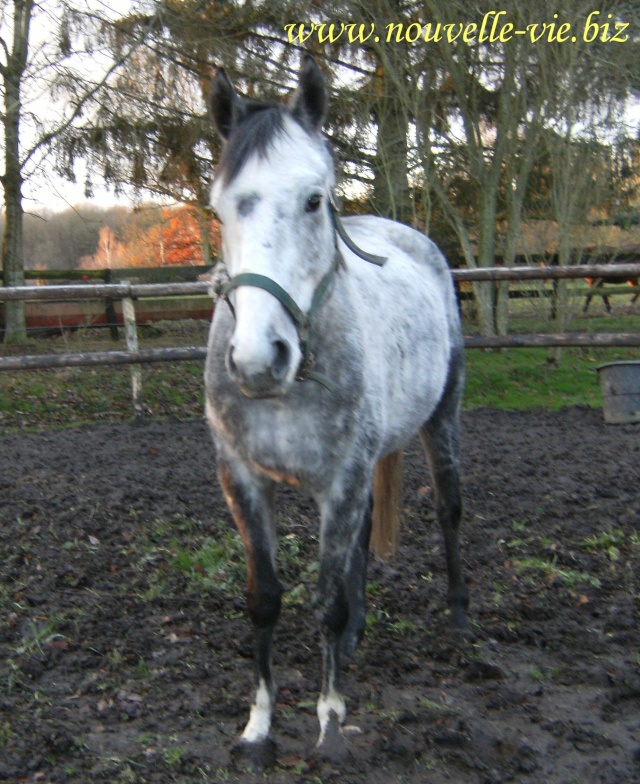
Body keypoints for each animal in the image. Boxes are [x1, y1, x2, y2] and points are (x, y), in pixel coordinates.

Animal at [205, 56, 470, 764]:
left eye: (314, 199)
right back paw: (357, 638)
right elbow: (265, 600)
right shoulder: (243, 480)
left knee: (449, 507)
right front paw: (259, 727)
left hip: (442, 419)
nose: (258, 359)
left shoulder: (341, 481)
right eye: (220, 208)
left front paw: (328, 723)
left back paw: (461, 618)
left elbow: (324, 602)